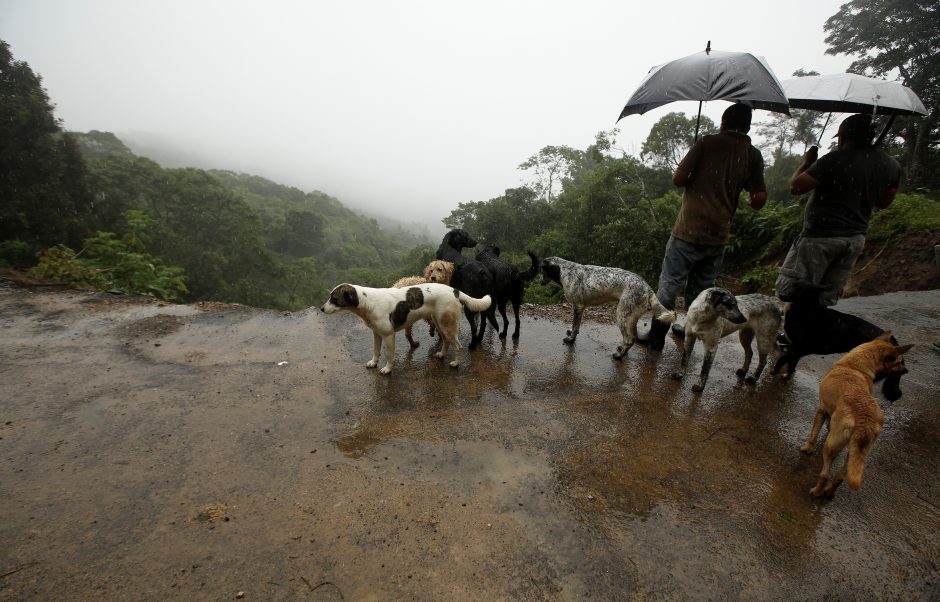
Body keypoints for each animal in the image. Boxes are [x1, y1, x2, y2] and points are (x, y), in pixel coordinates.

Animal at [322, 280, 488, 372]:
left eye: (334, 298)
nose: (322, 309)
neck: (368, 302)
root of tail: (454, 290)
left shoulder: (388, 335)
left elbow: (389, 355)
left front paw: (387, 369)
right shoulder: (377, 334)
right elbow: (376, 351)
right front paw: (374, 363)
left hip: (447, 325)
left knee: (458, 346)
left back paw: (456, 363)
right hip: (439, 323)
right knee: (446, 341)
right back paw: (442, 354)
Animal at [536, 255, 676, 358]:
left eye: (542, 270)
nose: (539, 282)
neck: (566, 272)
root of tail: (648, 290)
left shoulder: (578, 307)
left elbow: (575, 327)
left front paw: (571, 339)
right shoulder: (579, 308)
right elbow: (575, 326)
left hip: (622, 315)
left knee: (629, 339)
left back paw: (619, 355)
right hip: (630, 318)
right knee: (632, 338)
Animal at [772, 284, 904, 400]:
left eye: (797, 289)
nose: (780, 294)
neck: (805, 308)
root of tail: (894, 343)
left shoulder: (799, 348)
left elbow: (783, 359)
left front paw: (775, 371)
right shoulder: (797, 350)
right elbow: (791, 363)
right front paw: (787, 374)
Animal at [800, 330, 912, 494]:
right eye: (899, 362)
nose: (906, 371)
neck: (854, 366)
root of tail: (864, 420)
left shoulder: (821, 409)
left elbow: (813, 434)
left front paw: (806, 448)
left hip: (830, 446)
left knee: (825, 474)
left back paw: (816, 491)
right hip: (857, 452)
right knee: (841, 476)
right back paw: (829, 492)